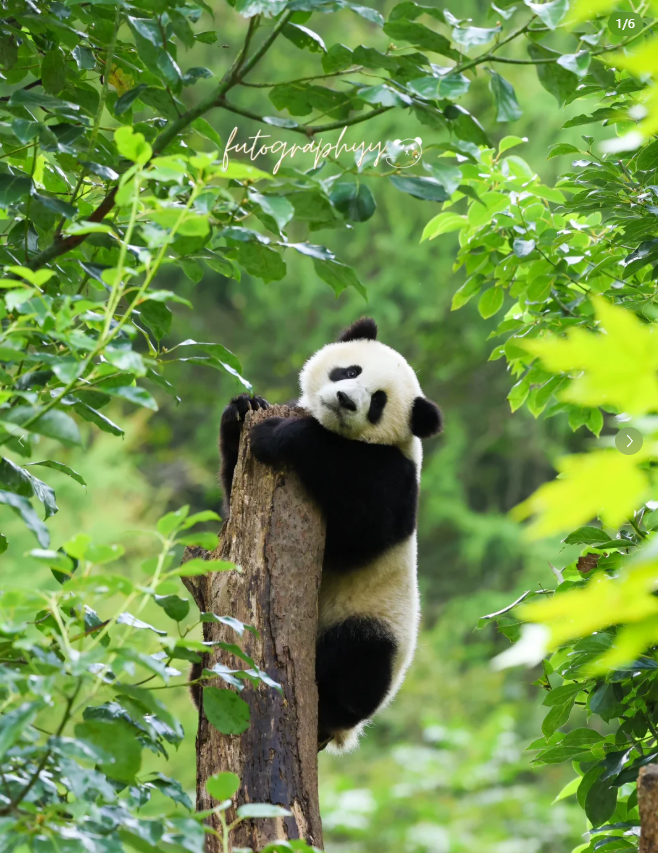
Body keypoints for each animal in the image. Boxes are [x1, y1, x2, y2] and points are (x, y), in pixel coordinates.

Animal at [218, 317, 443, 752]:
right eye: (349, 371)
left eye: (378, 402)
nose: (345, 399)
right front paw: (243, 409)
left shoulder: (395, 476)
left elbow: (363, 529)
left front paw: (277, 435)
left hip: (375, 622)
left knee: (358, 658)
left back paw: (329, 709)